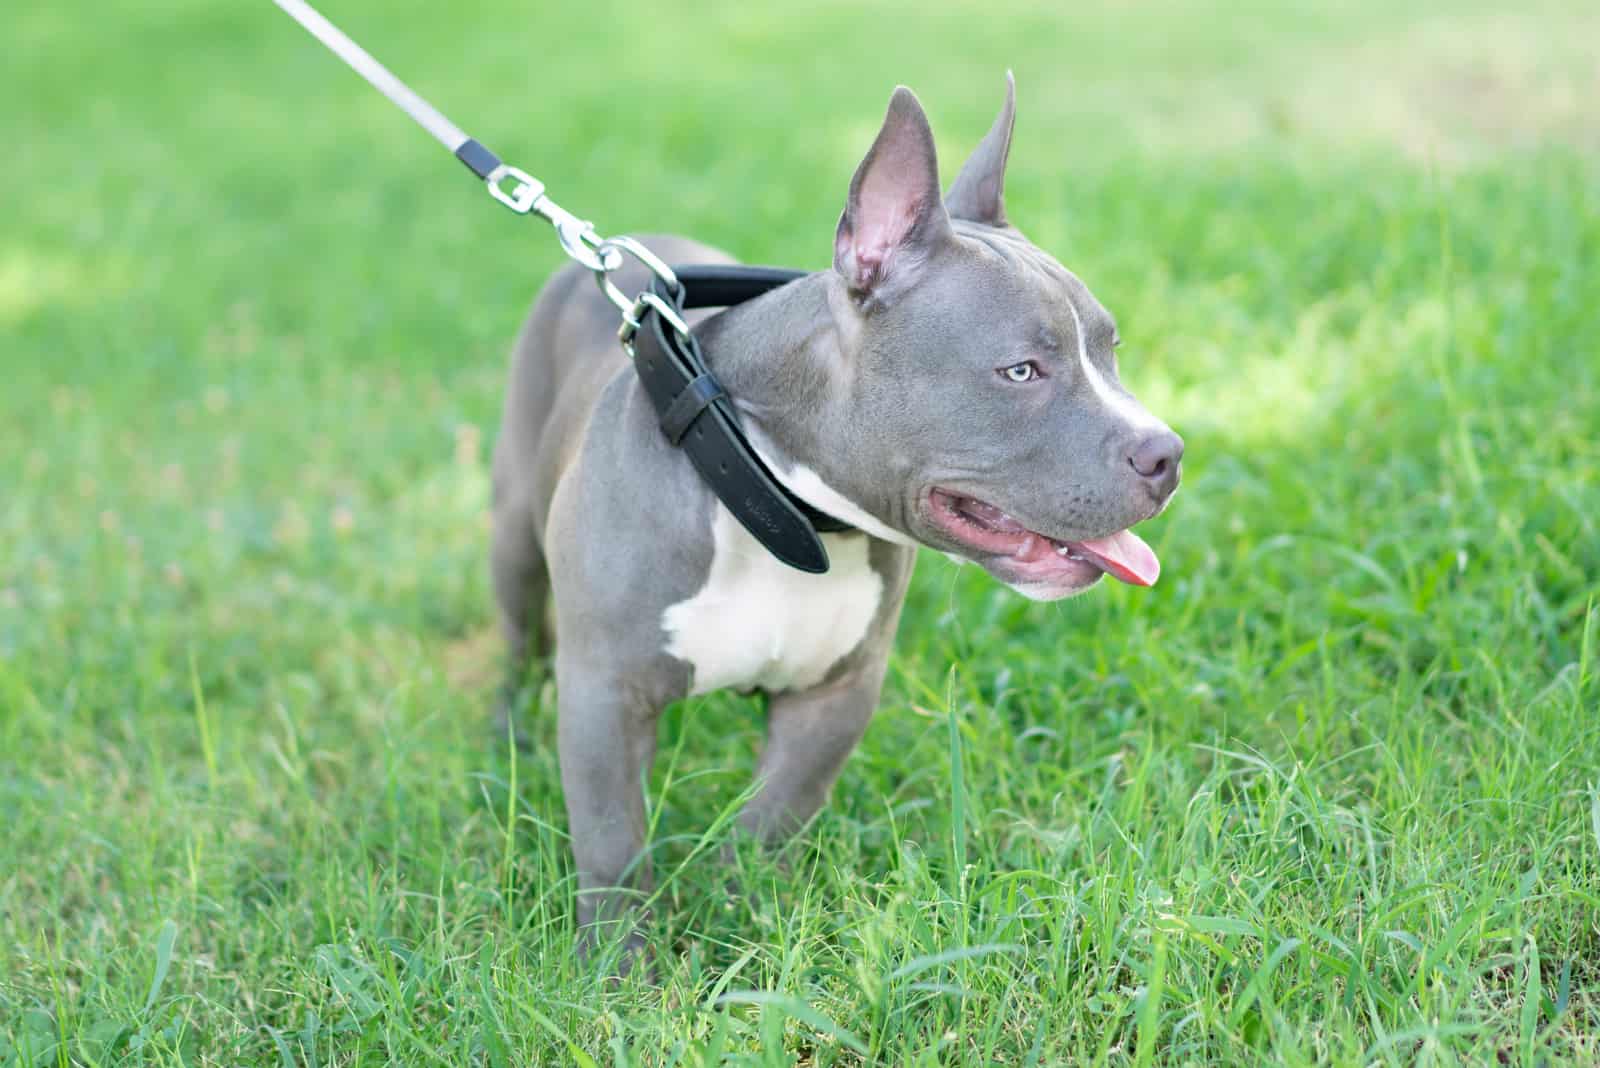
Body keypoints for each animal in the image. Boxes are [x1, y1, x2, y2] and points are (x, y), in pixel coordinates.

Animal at [492, 77, 1184, 959]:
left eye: (1111, 349)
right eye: (1022, 371)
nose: (1168, 453)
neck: (779, 508)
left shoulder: (836, 694)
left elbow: (772, 819)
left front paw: (743, 920)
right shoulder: (604, 697)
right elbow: (615, 847)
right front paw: (619, 969)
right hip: (512, 531)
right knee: (519, 632)